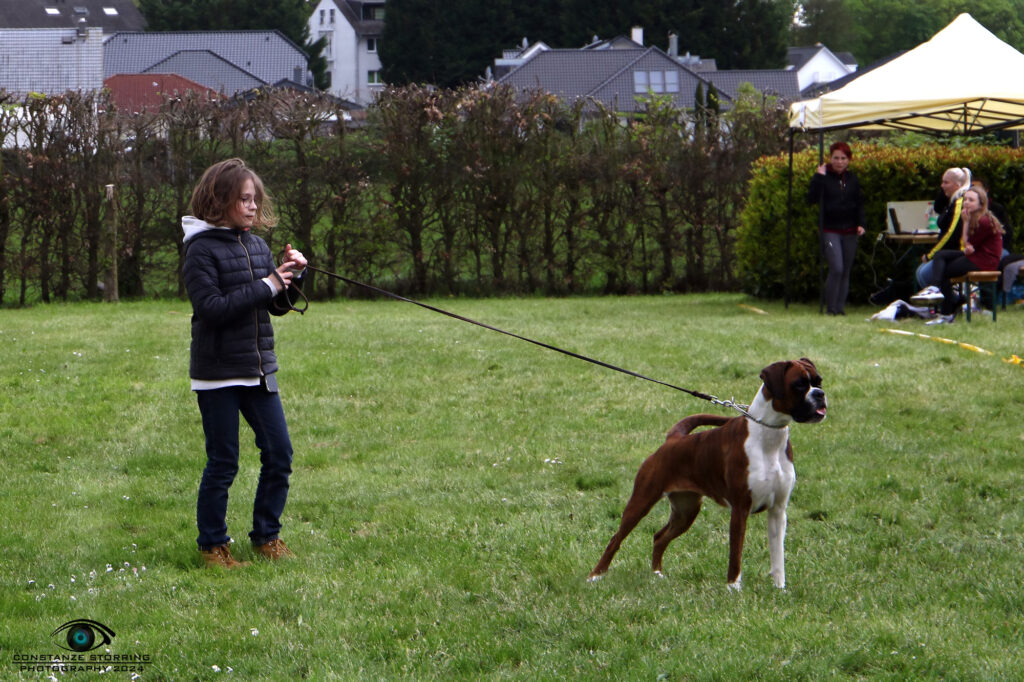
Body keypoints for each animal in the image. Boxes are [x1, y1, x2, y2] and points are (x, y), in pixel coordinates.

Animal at [585, 358, 823, 585]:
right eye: (799, 384)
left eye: (819, 381)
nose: (820, 394)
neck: (768, 438)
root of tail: (674, 439)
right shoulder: (740, 509)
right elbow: (735, 557)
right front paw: (733, 588)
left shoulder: (778, 511)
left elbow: (778, 559)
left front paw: (779, 589)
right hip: (641, 502)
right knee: (616, 539)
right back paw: (595, 576)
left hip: (686, 511)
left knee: (659, 537)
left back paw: (657, 574)